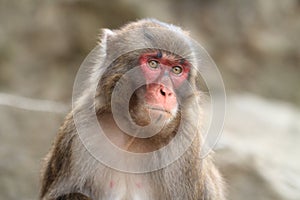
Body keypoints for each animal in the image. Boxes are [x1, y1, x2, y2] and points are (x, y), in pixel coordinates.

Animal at [41, 18, 226, 200]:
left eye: (176, 70)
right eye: (153, 64)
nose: (166, 92)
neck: (134, 133)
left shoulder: (184, 148)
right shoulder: (82, 130)